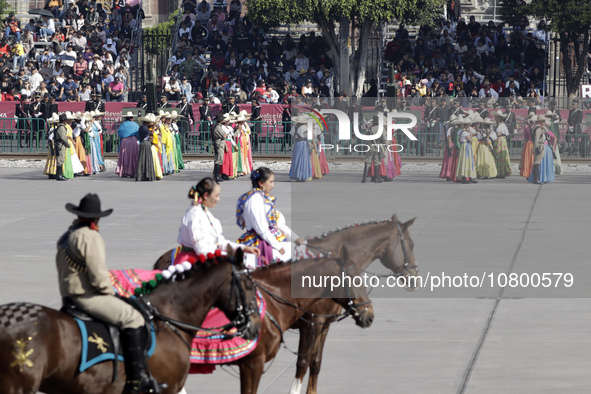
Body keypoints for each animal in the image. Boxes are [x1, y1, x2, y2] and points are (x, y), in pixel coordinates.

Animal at [290, 214, 418, 394]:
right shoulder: (312, 323)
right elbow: (302, 364)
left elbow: (315, 362)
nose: (415, 277)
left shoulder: (324, 324)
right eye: (411, 245)